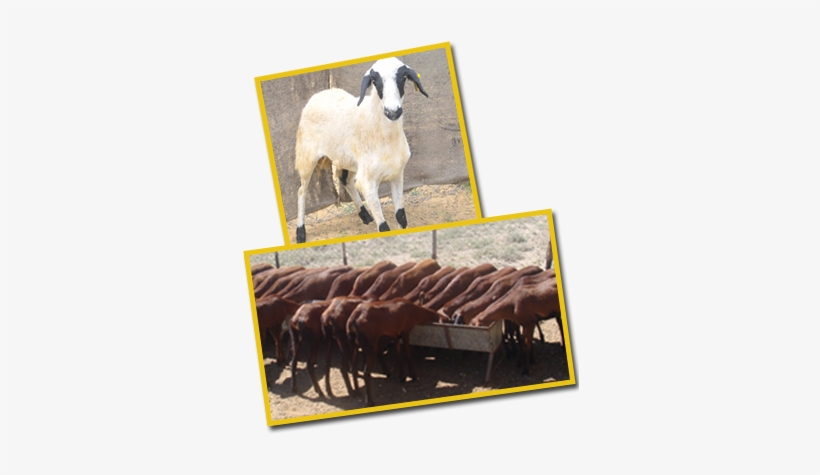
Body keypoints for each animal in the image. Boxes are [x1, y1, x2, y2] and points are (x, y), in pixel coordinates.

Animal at [293, 57, 429, 243]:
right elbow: (384, 227)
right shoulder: (368, 182)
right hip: (306, 156)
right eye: (375, 81)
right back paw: (300, 232)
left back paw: (364, 214)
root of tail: (318, 95)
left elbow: (401, 216)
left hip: (347, 159)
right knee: (302, 191)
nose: (393, 112)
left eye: (403, 77)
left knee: (346, 181)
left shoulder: (397, 174)